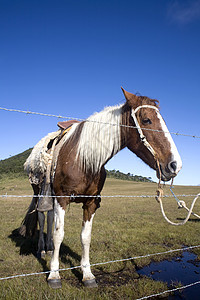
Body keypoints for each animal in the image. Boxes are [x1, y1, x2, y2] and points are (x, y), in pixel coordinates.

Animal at [19, 88, 181, 288]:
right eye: (146, 120)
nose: (175, 165)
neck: (82, 159)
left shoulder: (90, 203)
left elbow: (85, 237)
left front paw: (87, 274)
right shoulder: (62, 198)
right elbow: (59, 234)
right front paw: (54, 274)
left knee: (49, 217)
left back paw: (48, 249)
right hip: (39, 192)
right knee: (42, 217)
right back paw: (42, 249)